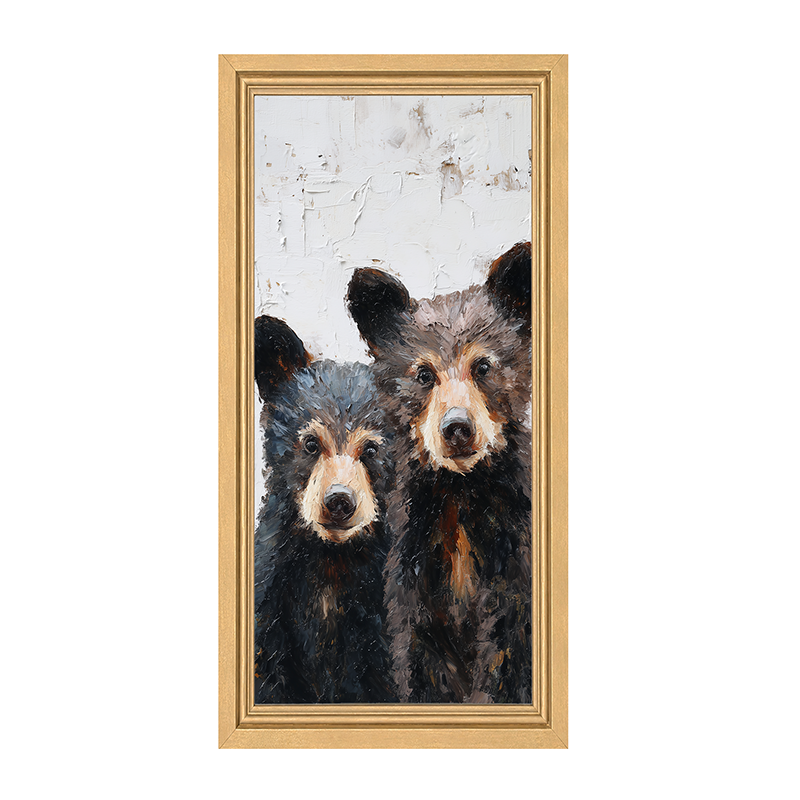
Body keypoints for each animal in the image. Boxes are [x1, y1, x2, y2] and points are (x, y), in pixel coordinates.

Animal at [346, 242, 533, 703]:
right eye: (424, 373)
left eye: (482, 366)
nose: (457, 428)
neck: (460, 490)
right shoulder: (415, 561)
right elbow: (419, 657)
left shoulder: (513, 548)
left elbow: (507, 648)